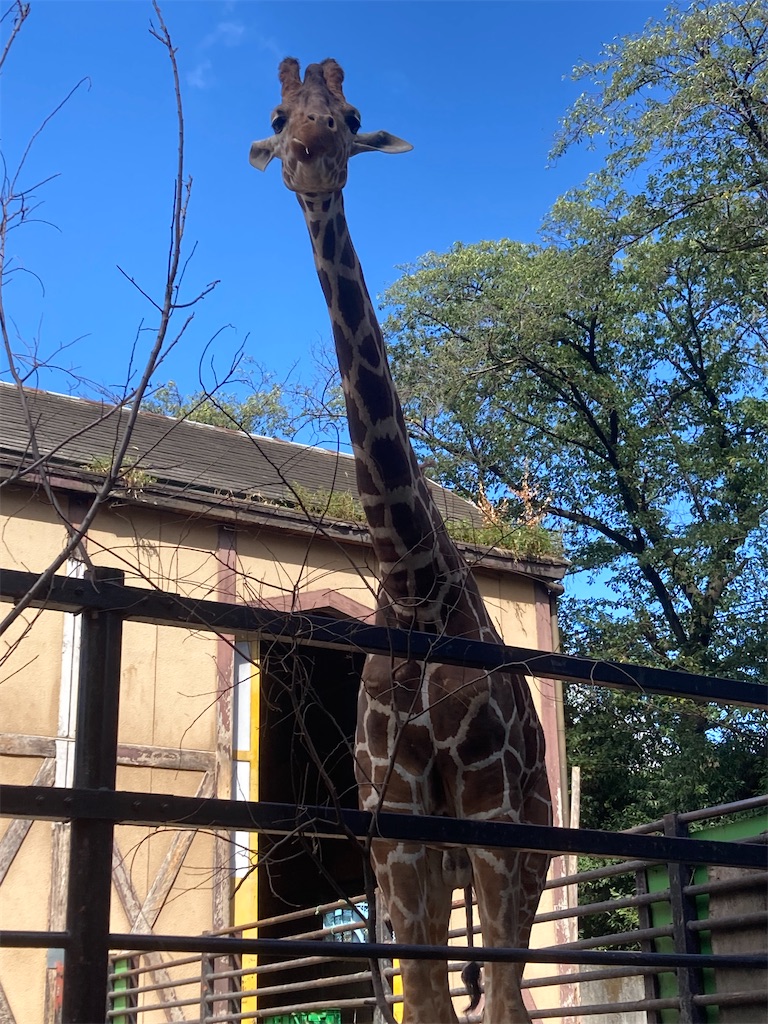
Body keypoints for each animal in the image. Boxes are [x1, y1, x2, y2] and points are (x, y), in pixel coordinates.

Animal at [249, 58, 548, 1024]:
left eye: (350, 116)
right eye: (280, 115)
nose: (309, 157)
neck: (415, 581)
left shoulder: (490, 811)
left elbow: (494, 1000)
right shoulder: (399, 825)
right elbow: (422, 995)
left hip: (533, 836)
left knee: (509, 986)